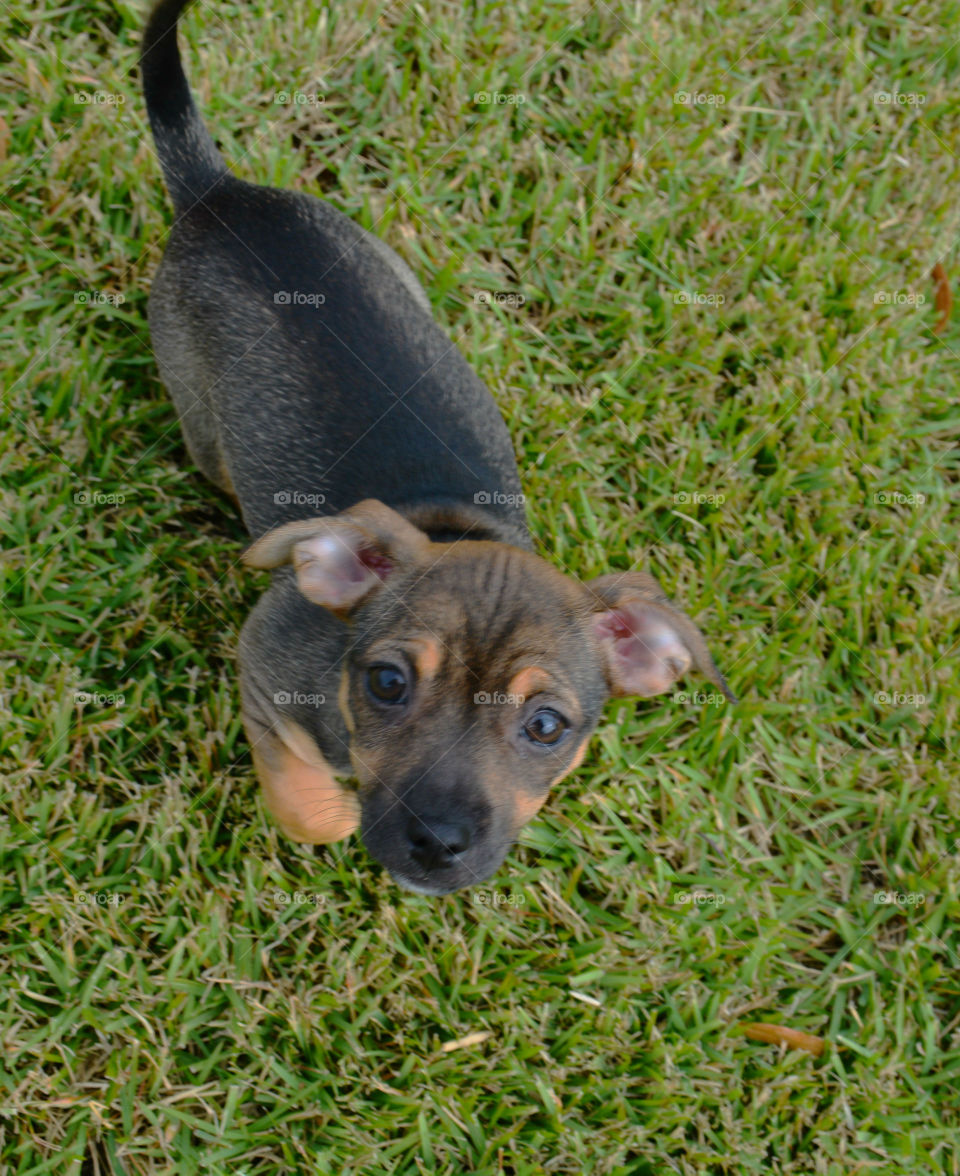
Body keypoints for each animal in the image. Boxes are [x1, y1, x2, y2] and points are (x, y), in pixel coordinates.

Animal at [140, 0, 734, 889]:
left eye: (547, 727)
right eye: (387, 683)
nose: (438, 840)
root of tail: (221, 194)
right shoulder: (263, 669)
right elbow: (306, 807)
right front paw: (335, 808)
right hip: (200, 417)